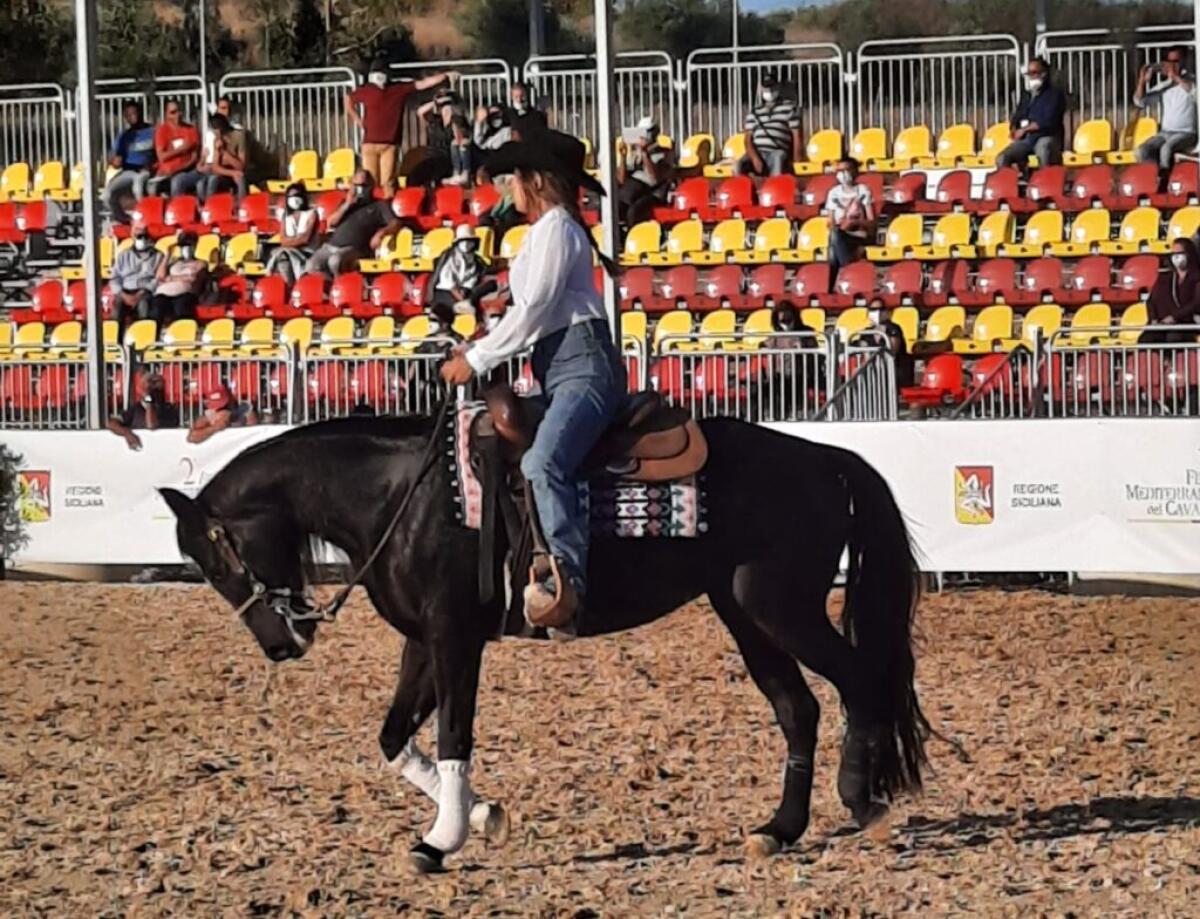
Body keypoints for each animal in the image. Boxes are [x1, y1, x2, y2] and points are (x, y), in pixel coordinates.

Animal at [159, 412, 929, 873]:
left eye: (218, 558)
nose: (279, 644)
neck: (400, 497)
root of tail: (825, 456)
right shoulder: (422, 642)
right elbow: (394, 737)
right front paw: (482, 814)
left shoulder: (456, 637)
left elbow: (454, 733)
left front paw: (440, 840)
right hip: (745, 613)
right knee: (799, 709)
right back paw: (779, 827)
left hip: (780, 606)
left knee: (859, 680)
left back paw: (864, 800)